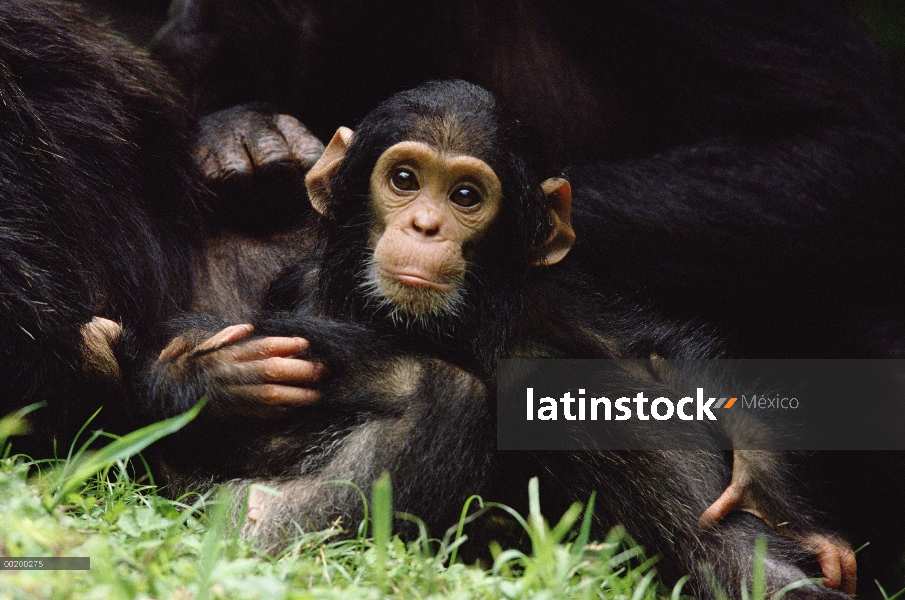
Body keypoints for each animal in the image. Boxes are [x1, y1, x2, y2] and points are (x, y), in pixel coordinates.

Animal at [145, 82, 860, 600]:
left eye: (466, 195)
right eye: (403, 180)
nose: (425, 224)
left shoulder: (550, 301)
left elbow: (647, 355)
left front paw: (767, 477)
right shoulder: (298, 290)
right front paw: (218, 376)